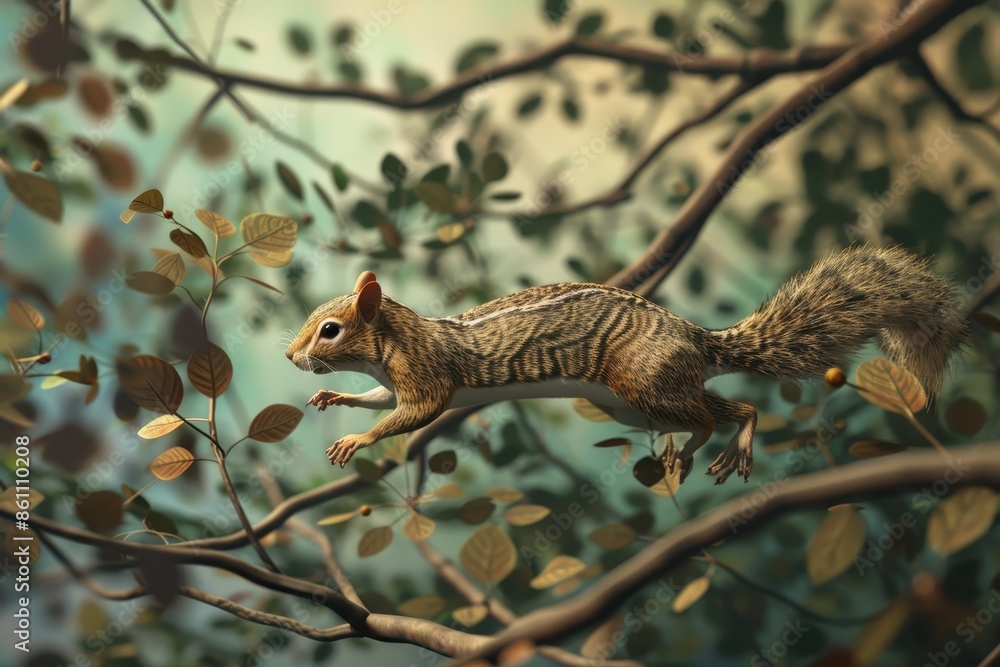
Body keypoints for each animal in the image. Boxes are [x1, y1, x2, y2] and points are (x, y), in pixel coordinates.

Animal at [285, 245, 967, 483]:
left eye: (330, 329)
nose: (292, 356)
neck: (397, 337)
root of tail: (695, 339)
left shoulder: (426, 376)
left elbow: (413, 413)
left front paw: (356, 440)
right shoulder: (394, 382)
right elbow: (379, 401)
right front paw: (336, 401)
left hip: (643, 382)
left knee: (724, 411)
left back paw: (720, 448)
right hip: (634, 402)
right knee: (714, 412)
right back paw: (696, 450)